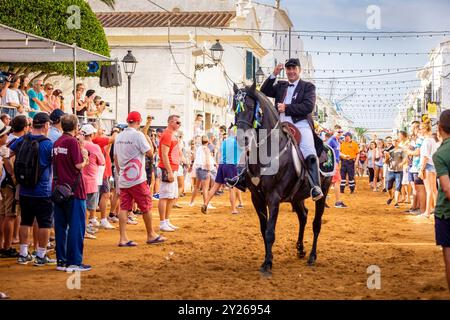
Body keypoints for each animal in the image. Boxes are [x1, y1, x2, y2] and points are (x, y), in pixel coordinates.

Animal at [234, 82, 332, 276]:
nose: (243, 139)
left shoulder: (273, 198)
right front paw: (268, 258)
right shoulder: (257, 198)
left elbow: (270, 232)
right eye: (234, 106)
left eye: (249, 106)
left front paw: (267, 264)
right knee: (303, 216)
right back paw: (300, 249)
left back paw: (312, 256)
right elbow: (264, 230)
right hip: (296, 197)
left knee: (316, 223)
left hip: (322, 194)